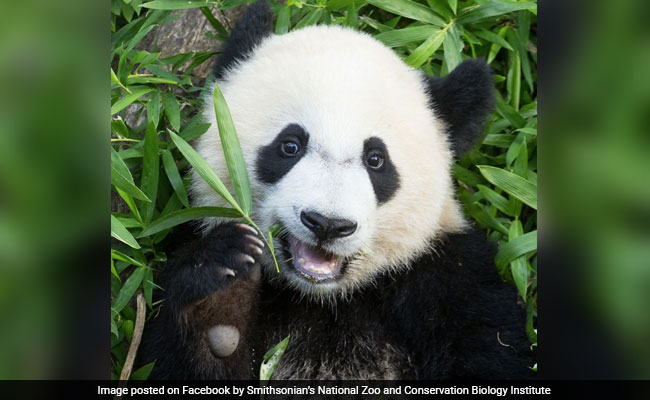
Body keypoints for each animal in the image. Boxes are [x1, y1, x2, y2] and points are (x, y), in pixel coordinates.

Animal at [139, 1, 536, 380]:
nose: (327, 224)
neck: (323, 297)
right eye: (290, 145)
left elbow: (490, 350)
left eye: (376, 160)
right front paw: (220, 295)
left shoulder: (450, 278)